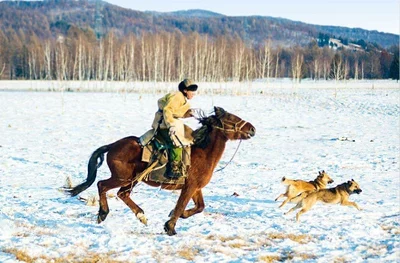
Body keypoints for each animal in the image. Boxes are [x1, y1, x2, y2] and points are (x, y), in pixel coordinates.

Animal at [67, 106, 255, 236]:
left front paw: (173, 217)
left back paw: (141, 216)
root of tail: (112, 145)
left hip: (132, 180)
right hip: (122, 178)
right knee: (102, 185)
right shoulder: (189, 187)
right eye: (231, 118)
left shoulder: (196, 188)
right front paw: (170, 227)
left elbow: (199, 207)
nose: (252, 128)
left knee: (122, 194)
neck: (203, 151)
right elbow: (181, 205)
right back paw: (103, 213)